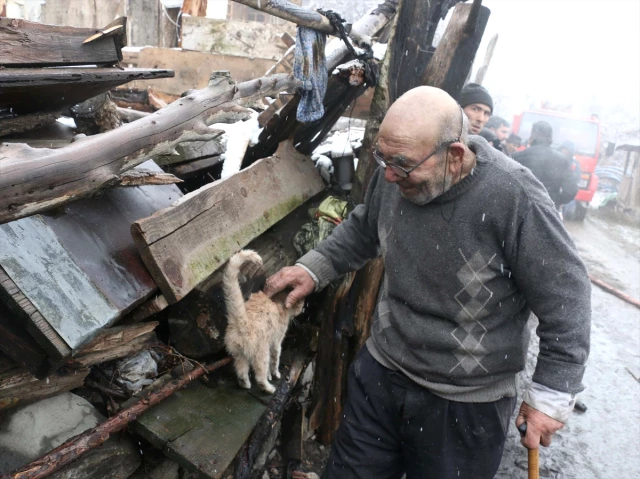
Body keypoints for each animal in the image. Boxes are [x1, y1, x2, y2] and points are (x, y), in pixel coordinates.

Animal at [222, 251, 304, 394]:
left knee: (241, 373)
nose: (303, 307)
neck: (278, 301)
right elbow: (275, 361)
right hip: (261, 354)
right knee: (260, 378)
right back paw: (269, 389)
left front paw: (270, 375)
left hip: (239, 355)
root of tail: (242, 321)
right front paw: (275, 374)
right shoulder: (276, 342)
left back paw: (246, 385)